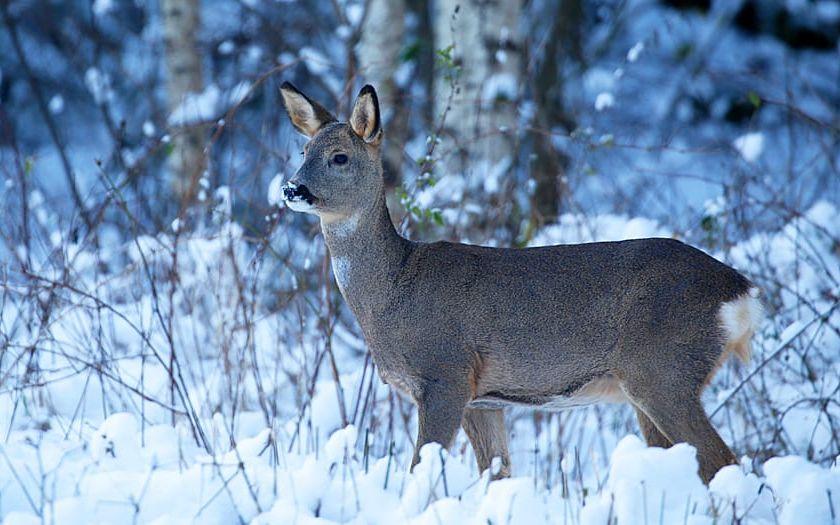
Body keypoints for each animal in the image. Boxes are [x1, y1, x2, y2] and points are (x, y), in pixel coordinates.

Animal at [280, 83, 760, 484]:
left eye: (340, 156)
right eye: (303, 149)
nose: (292, 189)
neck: (393, 288)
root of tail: (740, 291)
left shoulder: (445, 373)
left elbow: (419, 467)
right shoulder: (485, 399)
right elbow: (496, 474)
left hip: (663, 368)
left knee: (723, 461)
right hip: (649, 386)